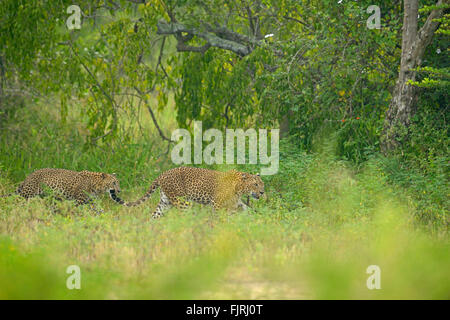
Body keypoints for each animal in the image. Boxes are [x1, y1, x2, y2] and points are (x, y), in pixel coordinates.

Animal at [109, 166, 264, 219]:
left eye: (262, 184)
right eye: (255, 184)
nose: (262, 192)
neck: (239, 187)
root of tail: (162, 174)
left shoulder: (236, 204)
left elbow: (247, 212)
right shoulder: (217, 203)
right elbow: (219, 217)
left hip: (165, 202)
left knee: (154, 216)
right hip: (182, 202)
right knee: (187, 218)